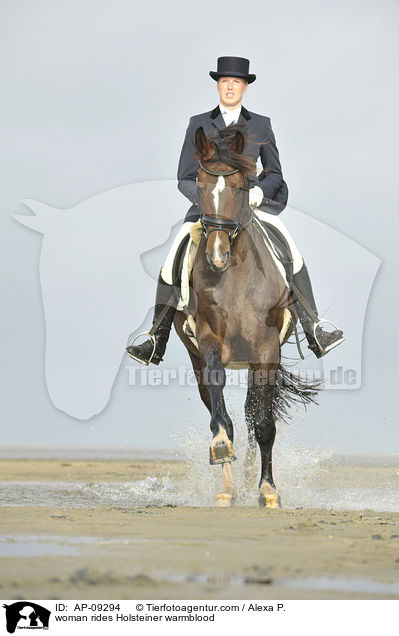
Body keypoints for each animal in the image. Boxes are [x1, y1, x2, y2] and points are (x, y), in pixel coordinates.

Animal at [175, 124, 318, 510]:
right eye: (200, 185)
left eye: (241, 187)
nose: (217, 255)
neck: (235, 276)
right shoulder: (208, 342)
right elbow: (221, 417)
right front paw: (223, 457)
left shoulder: (266, 350)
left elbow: (264, 425)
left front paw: (268, 490)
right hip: (197, 360)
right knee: (225, 411)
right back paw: (230, 483)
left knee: (255, 415)